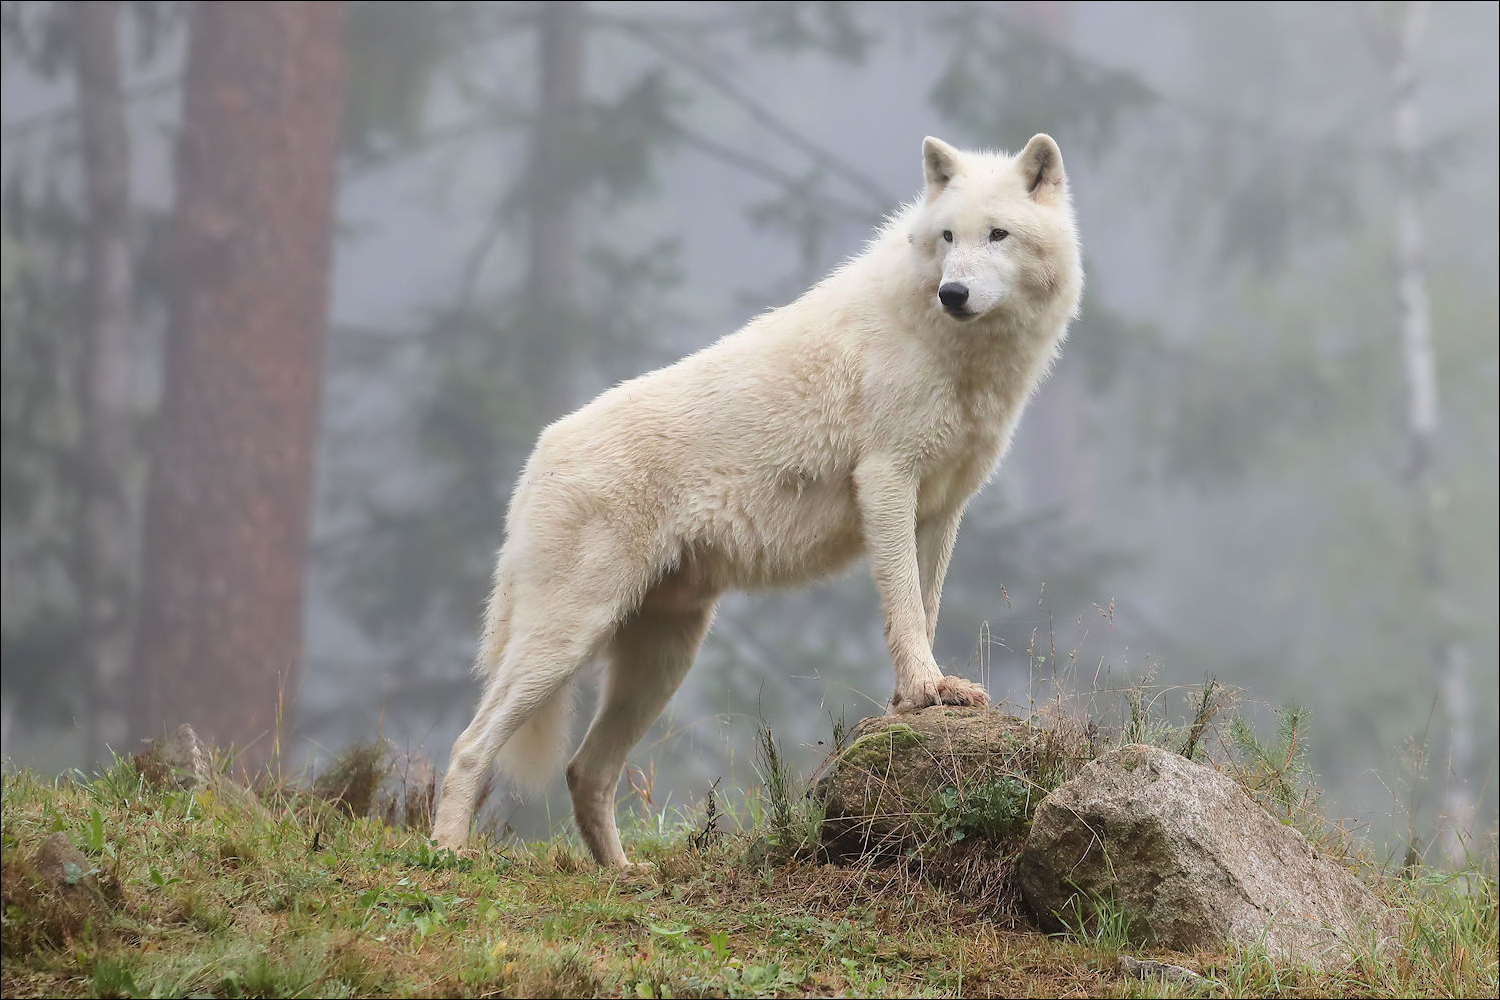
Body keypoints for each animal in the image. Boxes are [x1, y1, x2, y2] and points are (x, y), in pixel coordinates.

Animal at [432, 134, 1080, 869]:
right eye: (948, 237)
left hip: (662, 661)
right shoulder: (887, 481)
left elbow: (927, 605)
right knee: (471, 745)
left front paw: (920, 698)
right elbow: (907, 611)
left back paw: (623, 874)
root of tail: (536, 459)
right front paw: (924, 689)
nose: (954, 292)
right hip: (566, 642)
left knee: (584, 771)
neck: (958, 355)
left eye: (997, 235)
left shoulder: (941, 509)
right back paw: (447, 854)